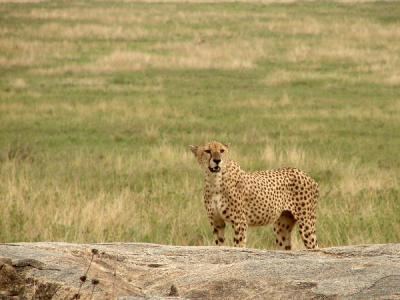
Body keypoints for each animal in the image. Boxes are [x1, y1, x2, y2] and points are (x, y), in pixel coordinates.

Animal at [190, 142, 318, 250]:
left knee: (314, 247)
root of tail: (304, 173)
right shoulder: (217, 221)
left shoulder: (239, 222)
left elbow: (239, 245)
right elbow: (219, 244)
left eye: (222, 150)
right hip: (282, 227)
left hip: (306, 223)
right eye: (207, 151)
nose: (217, 160)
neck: (214, 180)